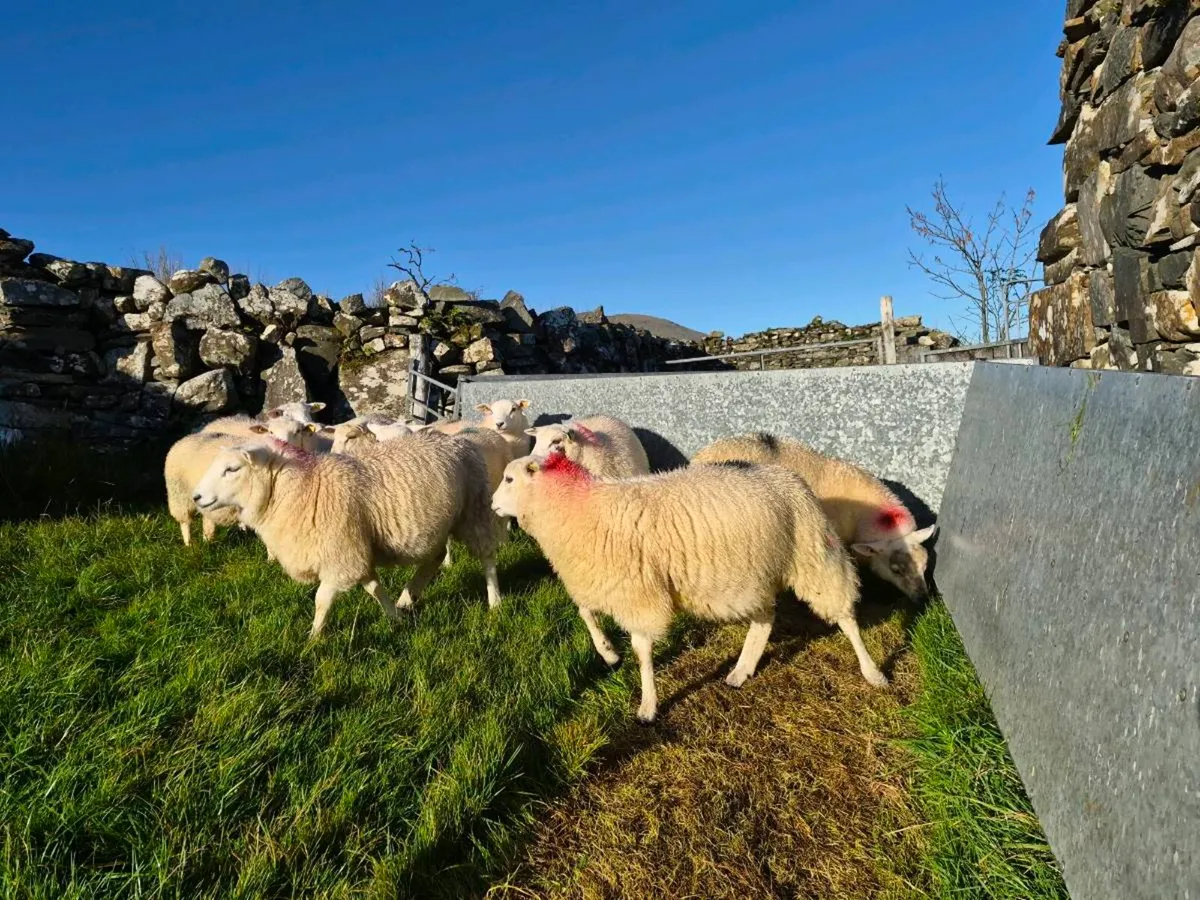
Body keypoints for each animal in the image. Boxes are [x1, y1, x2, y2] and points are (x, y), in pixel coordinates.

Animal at [192, 431, 504, 636]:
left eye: (232, 469)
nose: (196, 497)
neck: (302, 486)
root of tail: (458, 439)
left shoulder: (340, 554)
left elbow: (322, 599)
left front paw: (314, 639)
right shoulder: (355, 547)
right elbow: (374, 588)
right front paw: (395, 618)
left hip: (474, 509)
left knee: (487, 559)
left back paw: (495, 603)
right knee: (436, 557)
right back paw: (408, 597)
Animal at [491, 453, 887, 723]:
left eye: (509, 479)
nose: (492, 505)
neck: (575, 507)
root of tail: (790, 476)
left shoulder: (638, 593)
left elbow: (642, 651)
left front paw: (647, 706)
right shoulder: (602, 581)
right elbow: (585, 612)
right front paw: (608, 654)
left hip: (812, 555)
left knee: (844, 614)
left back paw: (873, 673)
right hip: (755, 572)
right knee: (764, 620)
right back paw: (741, 671)